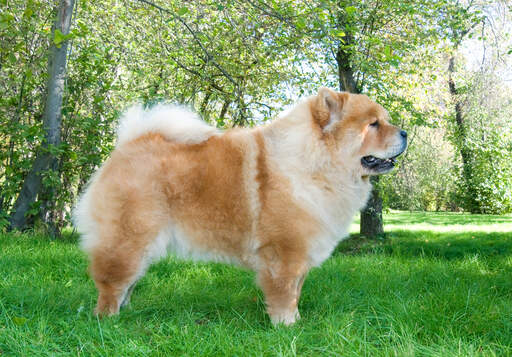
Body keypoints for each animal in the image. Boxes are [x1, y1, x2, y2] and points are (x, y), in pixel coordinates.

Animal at [73, 87, 408, 324]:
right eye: (374, 124)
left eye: (383, 121)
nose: (404, 132)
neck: (315, 163)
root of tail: (126, 145)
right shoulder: (284, 252)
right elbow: (284, 292)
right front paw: (286, 326)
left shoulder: (301, 252)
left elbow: (296, 291)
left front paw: (298, 320)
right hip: (128, 239)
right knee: (112, 282)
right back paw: (107, 320)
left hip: (144, 246)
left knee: (128, 283)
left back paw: (126, 313)